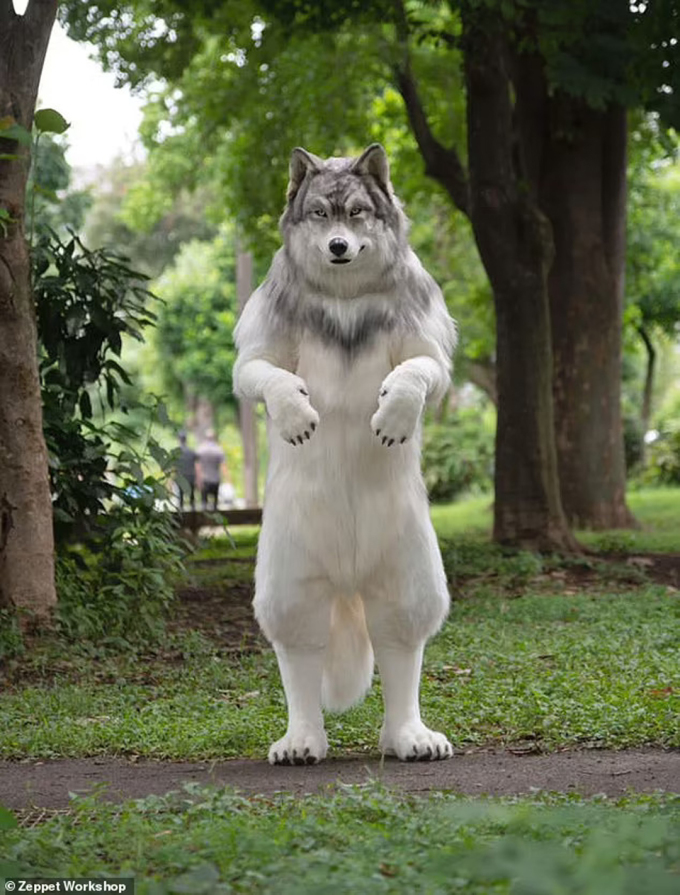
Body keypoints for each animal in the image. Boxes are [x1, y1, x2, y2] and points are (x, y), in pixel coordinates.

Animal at [233, 144, 457, 764]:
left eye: (357, 213)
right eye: (319, 214)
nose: (337, 246)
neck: (345, 297)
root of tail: (349, 577)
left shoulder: (424, 338)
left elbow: (420, 370)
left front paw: (396, 410)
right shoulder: (263, 341)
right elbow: (261, 372)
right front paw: (293, 411)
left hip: (407, 560)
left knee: (399, 635)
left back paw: (408, 735)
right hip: (291, 570)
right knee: (301, 644)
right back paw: (302, 739)